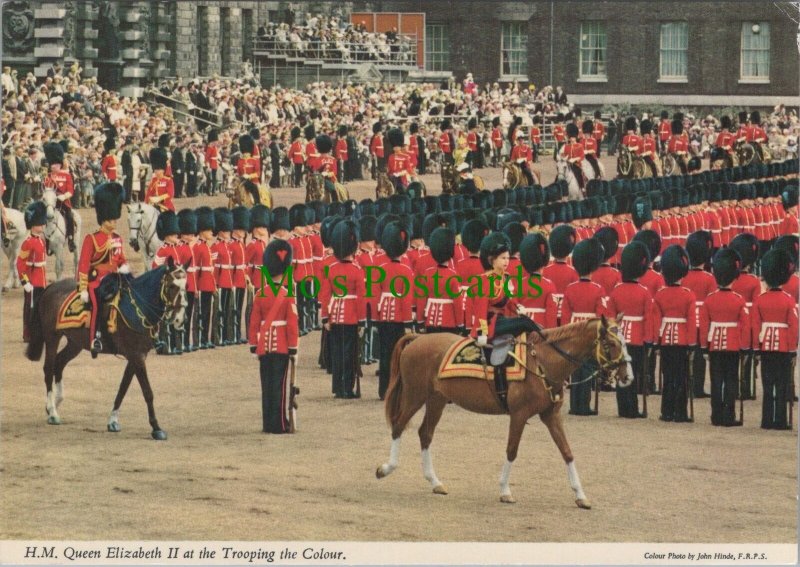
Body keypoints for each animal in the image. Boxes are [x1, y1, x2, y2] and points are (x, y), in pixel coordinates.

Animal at [24, 260, 188, 440]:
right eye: (172, 285)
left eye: (186, 286)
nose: (179, 319)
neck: (138, 308)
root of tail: (51, 287)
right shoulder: (136, 356)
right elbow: (147, 392)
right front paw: (156, 427)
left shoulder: (136, 356)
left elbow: (123, 388)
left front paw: (113, 420)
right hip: (52, 337)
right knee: (48, 368)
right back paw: (53, 412)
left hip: (76, 343)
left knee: (59, 363)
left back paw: (54, 402)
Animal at [376, 318, 632, 508]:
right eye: (611, 344)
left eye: (624, 341)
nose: (628, 377)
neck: (543, 362)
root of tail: (418, 338)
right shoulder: (519, 415)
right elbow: (511, 450)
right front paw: (505, 490)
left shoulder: (551, 416)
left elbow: (567, 452)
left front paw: (580, 495)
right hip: (415, 395)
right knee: (399, 425)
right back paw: (386, 468)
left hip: (436, 399)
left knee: (425, 434)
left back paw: (435, 482)